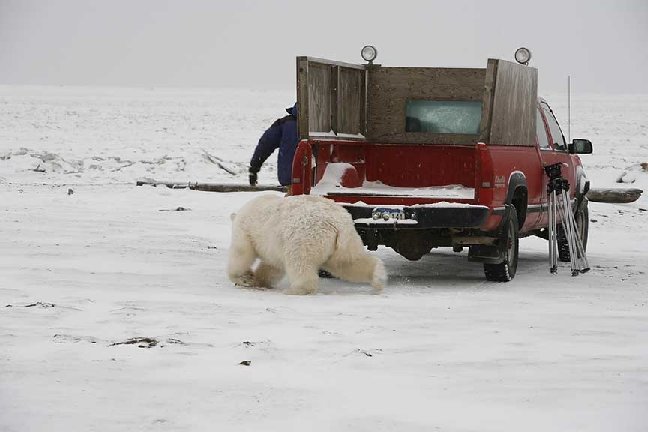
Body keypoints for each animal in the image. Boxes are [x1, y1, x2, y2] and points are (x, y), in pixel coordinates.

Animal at [229, 195, 384, 294]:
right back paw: (378, 278)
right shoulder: (273, 246)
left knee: (300, 263)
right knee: (348, 262)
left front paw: (244, 278)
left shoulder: (245, 230)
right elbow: (272, 267)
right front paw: (258, 281)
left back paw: (295, 290)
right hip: (346, 242)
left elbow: (241, 252)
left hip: (304, 237)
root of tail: (337, 223)